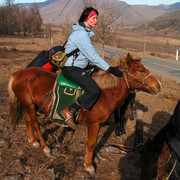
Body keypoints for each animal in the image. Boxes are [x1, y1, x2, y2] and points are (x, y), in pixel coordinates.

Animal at [8, 52, 162, 175]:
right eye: (141, 70)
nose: (159, 85)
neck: (105, 93)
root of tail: (17, 74)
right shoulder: (94, 124)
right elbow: (91, 144)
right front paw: (89, 166)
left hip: (29, 105)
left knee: (28, 120)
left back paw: (33, 141)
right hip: (29, 105)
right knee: (35, 123)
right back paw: (45, 148)